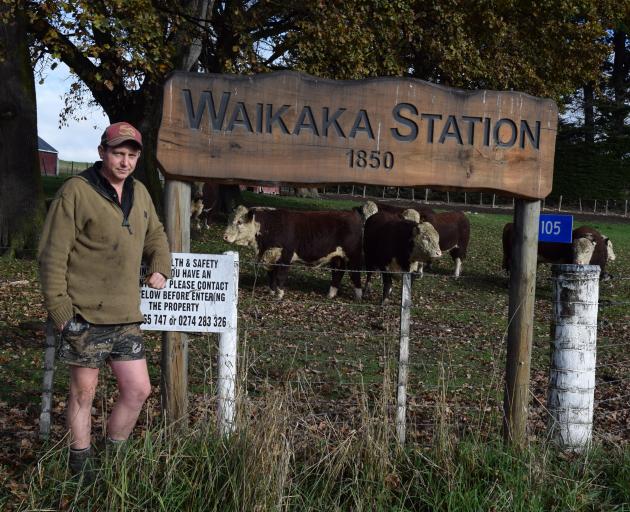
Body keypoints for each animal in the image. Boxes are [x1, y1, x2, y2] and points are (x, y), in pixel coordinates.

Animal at [225, 205, 368, 300]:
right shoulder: (270, 257)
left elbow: (280, 276)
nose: (225, 236)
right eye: (229, 220)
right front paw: (272, 292)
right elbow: (271, 276)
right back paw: (330, 294)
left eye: (239, 222)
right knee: (338, 273)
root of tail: (351, 213)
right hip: (337, 257)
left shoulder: (285, 257)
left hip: (353, 255)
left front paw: (279, 295)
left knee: (355, 274)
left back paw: (358, 296)